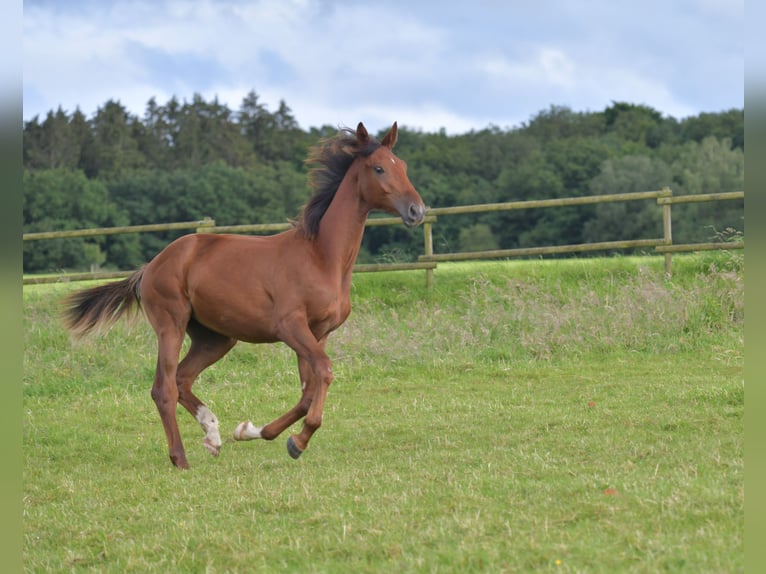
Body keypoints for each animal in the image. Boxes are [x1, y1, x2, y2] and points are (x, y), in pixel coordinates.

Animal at [63, 124, 428, 470]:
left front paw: (253, 432)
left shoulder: (319, 333)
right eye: (379, 168)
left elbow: (308, 393)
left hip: (216, 338)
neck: (322, 257)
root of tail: (151, 266)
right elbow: (324, 372)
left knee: (182, 378)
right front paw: (297, 441)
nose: (417, 210)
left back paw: (212, 434)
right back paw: (180, 458)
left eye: (404, 166)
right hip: (171, 324)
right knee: (163, 388)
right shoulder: (290, 326)